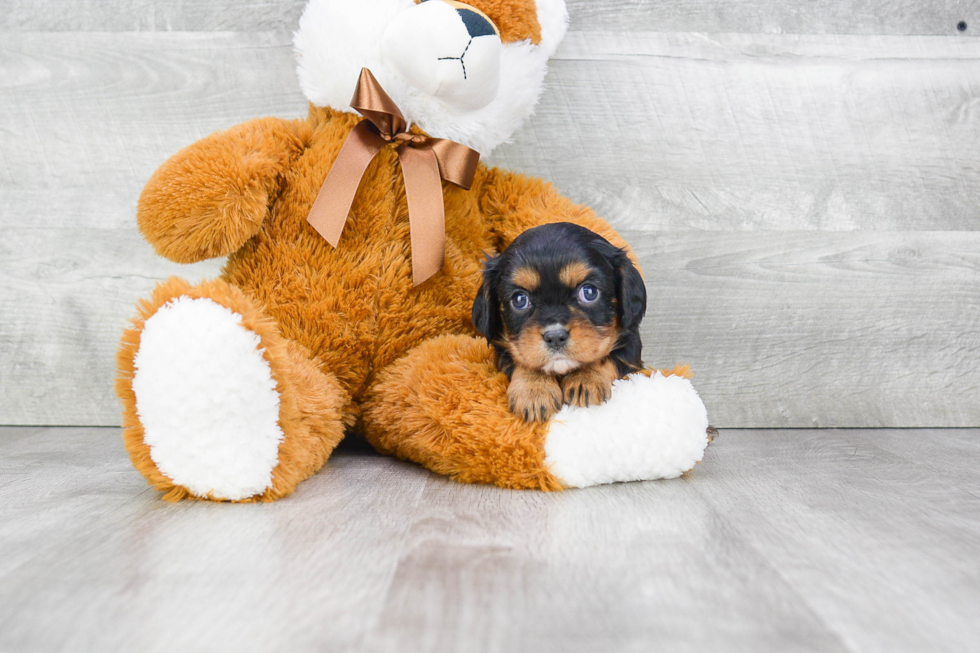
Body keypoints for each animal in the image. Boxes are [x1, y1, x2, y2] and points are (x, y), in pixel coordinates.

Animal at [470, 220, 648, 422]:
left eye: (589, 292)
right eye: (519, 299)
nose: (555, 337)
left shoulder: (632, 349)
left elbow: (608, 357)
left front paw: (586, 378)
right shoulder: (503, 352)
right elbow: (524, 360)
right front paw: (534, 390)